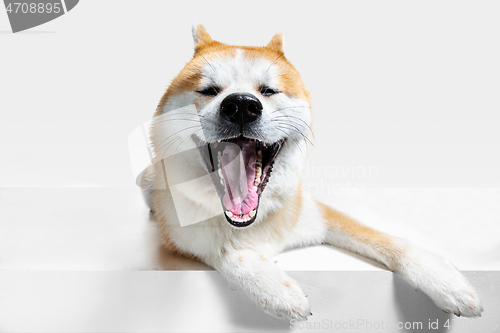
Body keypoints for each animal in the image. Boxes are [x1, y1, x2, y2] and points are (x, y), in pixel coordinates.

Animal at [139, 23, 482, 320]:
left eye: (268, 91)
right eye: (209, 90)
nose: (241, 105)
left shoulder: (319, 215)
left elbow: (391, 242)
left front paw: (446, 281)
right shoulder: (184, 241)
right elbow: (225, 251)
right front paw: (276, 289)